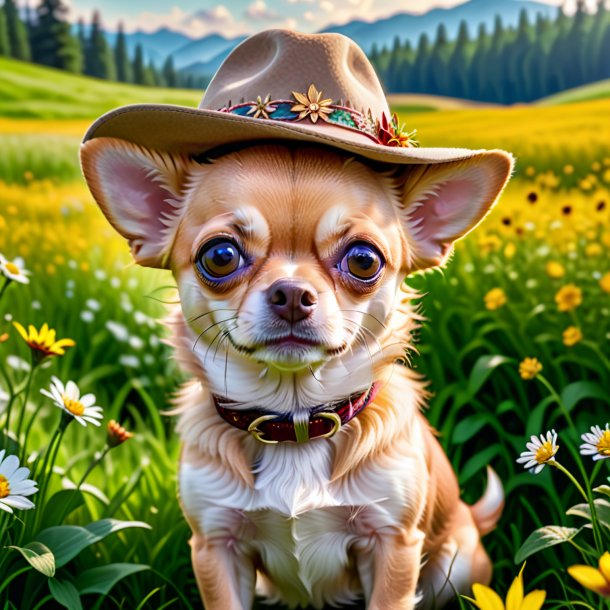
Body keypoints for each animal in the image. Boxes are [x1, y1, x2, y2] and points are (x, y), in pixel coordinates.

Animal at [78, 28, 510, 608]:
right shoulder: (216, 544)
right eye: (220, 256)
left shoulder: (392, 545)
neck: (294, 422)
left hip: (456, 561)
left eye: (364, 260)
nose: (290, 293)